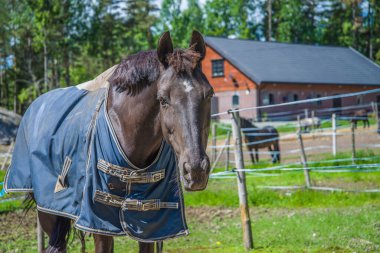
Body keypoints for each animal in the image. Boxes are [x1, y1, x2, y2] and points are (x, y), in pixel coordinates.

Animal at [3, 31, 214, 253]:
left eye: (209, 94)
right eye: (163, 99)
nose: (196, 170)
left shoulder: (150, 226)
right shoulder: (98, 224)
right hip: (48, 211)